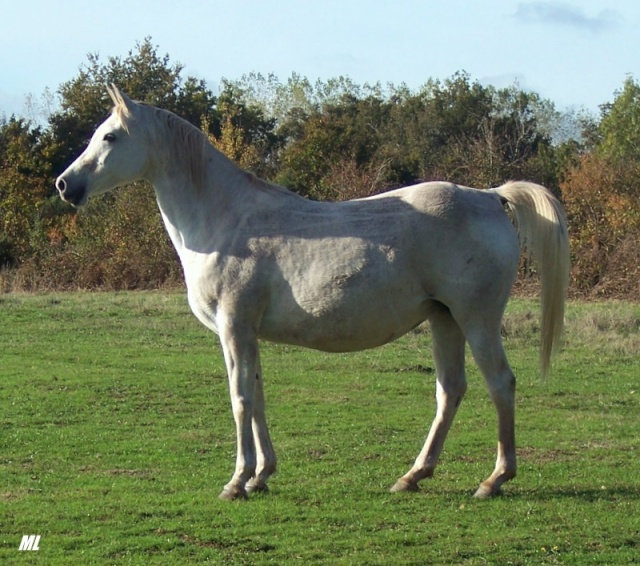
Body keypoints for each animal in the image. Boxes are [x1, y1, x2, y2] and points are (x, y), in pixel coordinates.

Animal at [57, 84, 568, 502]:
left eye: (109, 137)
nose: (65, 185)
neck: (225, 219)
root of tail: (489, 195)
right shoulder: (246, 333)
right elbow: (257, 397)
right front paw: (262, 476)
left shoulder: (233, 327)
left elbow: (239, 399)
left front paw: (236, 482)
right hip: (443, 319)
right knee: (450, 391)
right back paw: (413, 476)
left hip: (477, 320)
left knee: (500, 383)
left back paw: (494, 480)